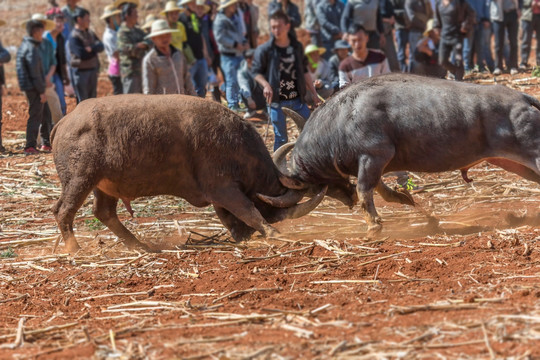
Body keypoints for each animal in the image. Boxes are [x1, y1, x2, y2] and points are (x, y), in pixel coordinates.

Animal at [51, 95, 324, 253]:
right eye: (269, 210)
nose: (244, 237)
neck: (235, 142)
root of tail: (65, 121)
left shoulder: (220, 194)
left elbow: (231, 214)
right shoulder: (224, 189)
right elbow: (248, 211)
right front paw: (273, 233)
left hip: (103, 185)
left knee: (103, 212)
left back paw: (140, 245)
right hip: (81, 179)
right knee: (64, 210)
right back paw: (75, 249)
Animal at [260, 73, 540, 236]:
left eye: (309, 188)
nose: (347, 200)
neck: (340, 120)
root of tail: (522, 97)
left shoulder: (374, 156)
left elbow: (365, 191)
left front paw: (374, 225)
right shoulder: (374, 165)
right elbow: (386, 192)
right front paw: (413, 205)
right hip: (513, 163)